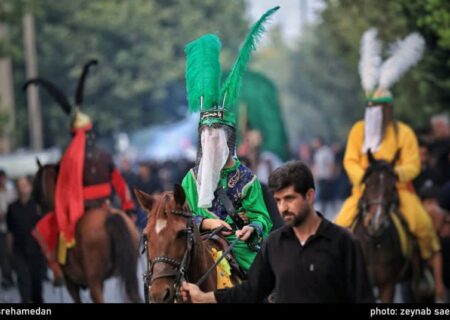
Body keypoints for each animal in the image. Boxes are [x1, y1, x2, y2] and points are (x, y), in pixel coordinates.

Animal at [33, 162, 142, 302]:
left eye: (37, 187)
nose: (39, 209)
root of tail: (109, 216)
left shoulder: (71, 283)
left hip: (94, 281)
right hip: (129, 273)